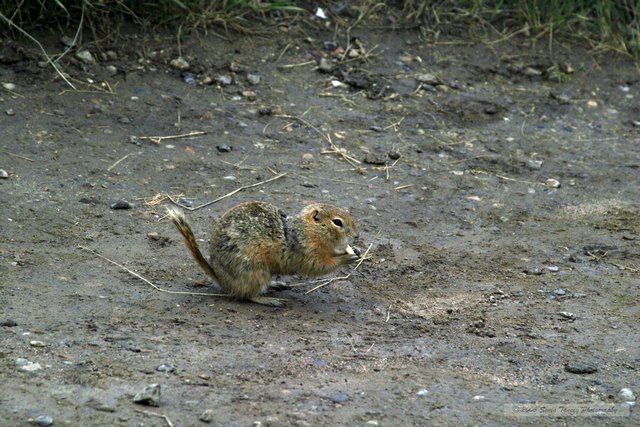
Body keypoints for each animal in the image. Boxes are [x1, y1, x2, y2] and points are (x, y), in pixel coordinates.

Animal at [166, 202, 360, 306]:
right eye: (337, 222)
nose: (356, 235)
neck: (304, 230)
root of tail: (220, 278)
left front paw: (354, 250)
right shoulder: (306, 253)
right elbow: (320, 266)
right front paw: (347, 257)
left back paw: (276, 284)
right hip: (254, 271)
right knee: (248, 294)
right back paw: (269, 300)